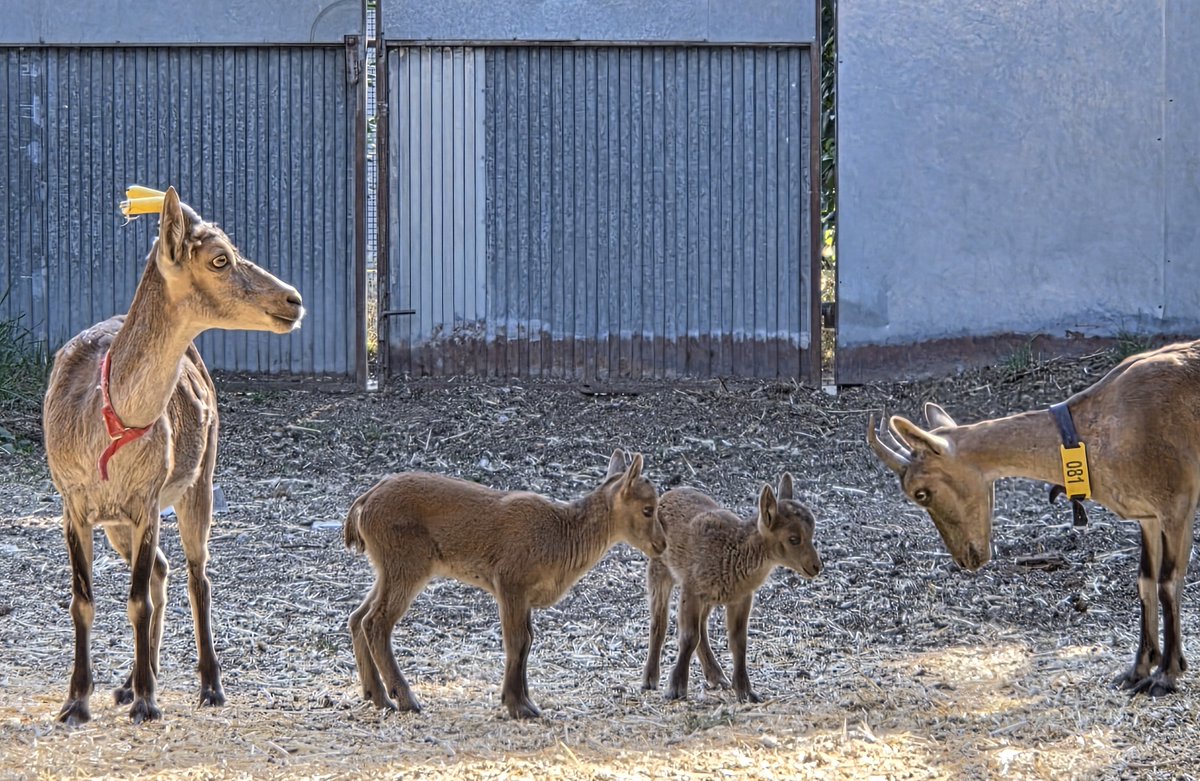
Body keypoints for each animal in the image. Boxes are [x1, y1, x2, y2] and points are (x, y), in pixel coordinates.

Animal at [42, 187, 304, 724]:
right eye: (219, 257)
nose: (293, 299)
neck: (106, 426)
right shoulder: (71, 501)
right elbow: (83, 600)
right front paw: (77, 701)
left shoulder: (147, 497)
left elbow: (136, 600)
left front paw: (147, 702)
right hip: (118, 522)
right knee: (163, 570)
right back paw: (129, 681)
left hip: (199, 480)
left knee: (196, 575)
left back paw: (207, 685)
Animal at [343, 449, 666, 719]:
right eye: (648, 509)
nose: (661, 544)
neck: (560, 537)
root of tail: (363, 504)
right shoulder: (510, 582)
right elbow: (517, 641)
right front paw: (517, 706)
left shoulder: (526, 597)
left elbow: (528, 641)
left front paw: (526, 701)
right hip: (408, 565)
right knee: (376, 622)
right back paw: (406, 699)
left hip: (387, 568)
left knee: (358, 616)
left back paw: (377, 696)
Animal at [642, 475, 822, 702]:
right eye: (794, 539)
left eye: (812, 533)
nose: (816, 566)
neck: (734, 551)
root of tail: (666, 495)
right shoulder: (691, 588)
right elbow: (689, 637)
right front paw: (676, 688)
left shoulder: (741, 597)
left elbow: (738, 641)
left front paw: (746, 691)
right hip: (659, 567)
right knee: (659, 621)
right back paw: (650, 679)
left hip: (710, 597)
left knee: (702, 626)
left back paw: (717, 677)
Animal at [867, 339, 1200, 696]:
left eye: (920, 493)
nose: (967, 559)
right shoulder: (1148, 515)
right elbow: (1145, 581)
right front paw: (1137, 670)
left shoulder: (1177, 501)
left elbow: (1167, 582)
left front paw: (1166, 675)